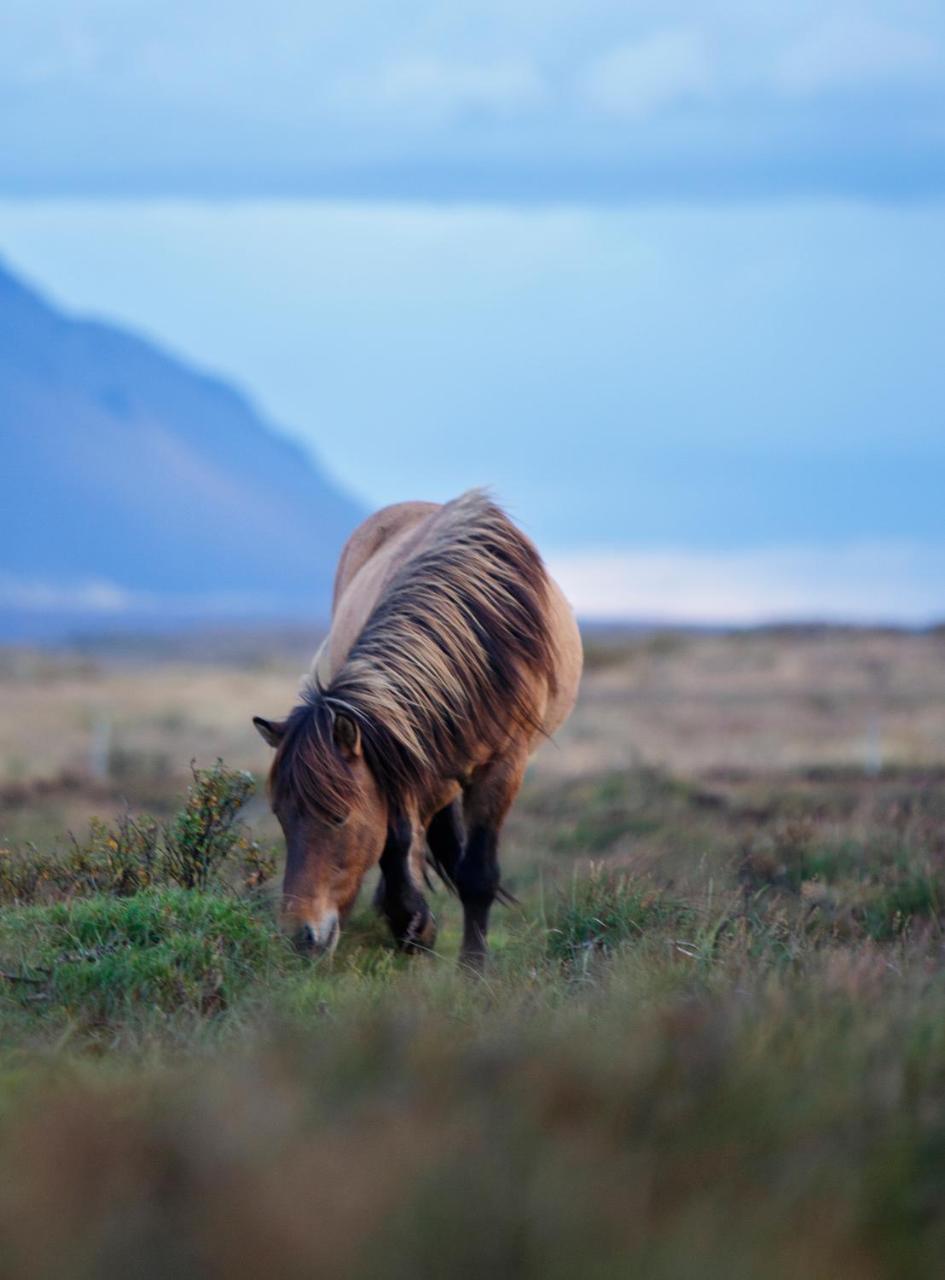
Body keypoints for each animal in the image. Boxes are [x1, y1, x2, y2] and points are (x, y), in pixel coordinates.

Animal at [256, 491, 581, 967]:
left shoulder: (504, 765)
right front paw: (412, 924)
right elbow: (395, 841)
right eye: (279, 815)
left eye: (338, 816)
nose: (301, 938)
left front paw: (472, 966)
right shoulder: (399, 758)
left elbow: (478, 874)